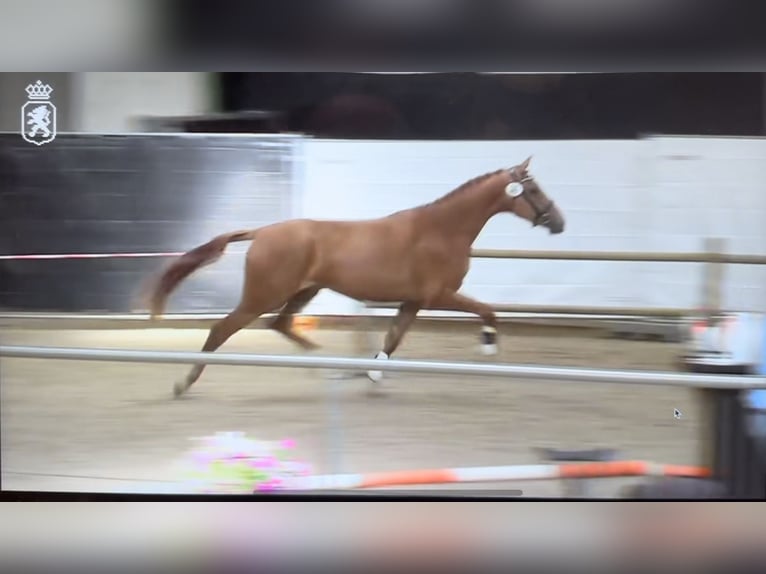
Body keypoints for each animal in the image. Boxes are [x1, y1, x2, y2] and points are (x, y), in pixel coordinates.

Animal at [146, 160, 564, 398]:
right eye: (532, 188)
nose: (559, 222)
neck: (441, 230)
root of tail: (262, 232)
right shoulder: (439, 296)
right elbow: (488, 311)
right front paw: (488, 348)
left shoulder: (413, 301)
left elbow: (392, 340)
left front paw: (373, 373)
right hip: (263, 296)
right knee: (222, 329)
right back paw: (184, 383)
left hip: (303, 291)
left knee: (281, 325)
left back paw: (324, 364)